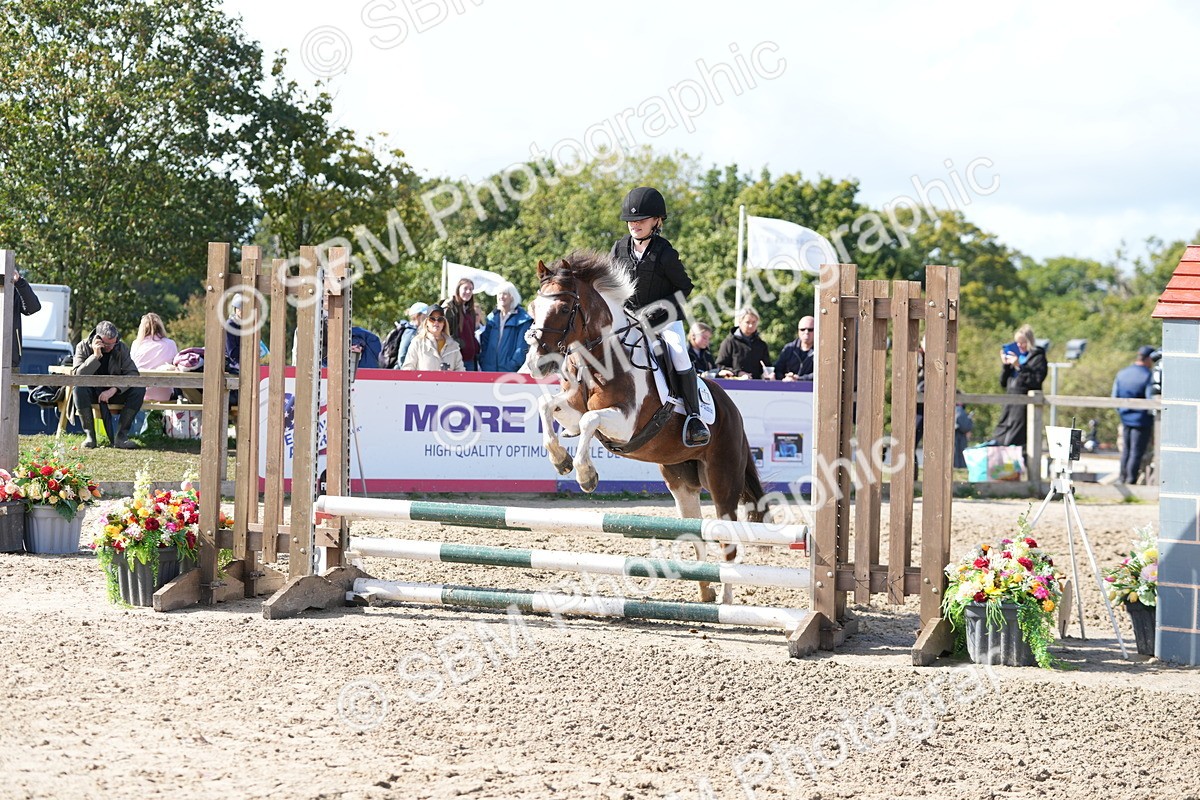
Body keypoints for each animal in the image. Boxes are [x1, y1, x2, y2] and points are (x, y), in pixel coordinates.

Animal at [524, 250, 767, 603]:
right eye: (534, 307)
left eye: (565, 308)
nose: (536, 363)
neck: (602, 357)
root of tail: (733, 411)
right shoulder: (570, 408)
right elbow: (549, 408)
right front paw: (561, 460)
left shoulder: (625, 423)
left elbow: (589, 420)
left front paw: (586, 476)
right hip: (681, 481)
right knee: (695, 532)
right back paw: (706, 592)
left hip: (723, 480)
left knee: (727, 540)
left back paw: (726, 602)